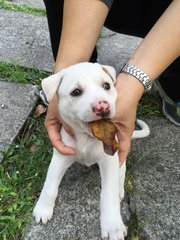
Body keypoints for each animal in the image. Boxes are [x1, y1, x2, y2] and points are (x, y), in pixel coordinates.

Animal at [32, 62, 149, 240]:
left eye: (106, 86)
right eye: (76, 92)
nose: (103, 107)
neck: (86, 138)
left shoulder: (109, 160)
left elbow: (108, 193)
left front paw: (113, 226)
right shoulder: (61, 155)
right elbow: (50, 185)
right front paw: (43, 209)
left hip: (120, 157)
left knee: (121, 172)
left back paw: (120, 190)